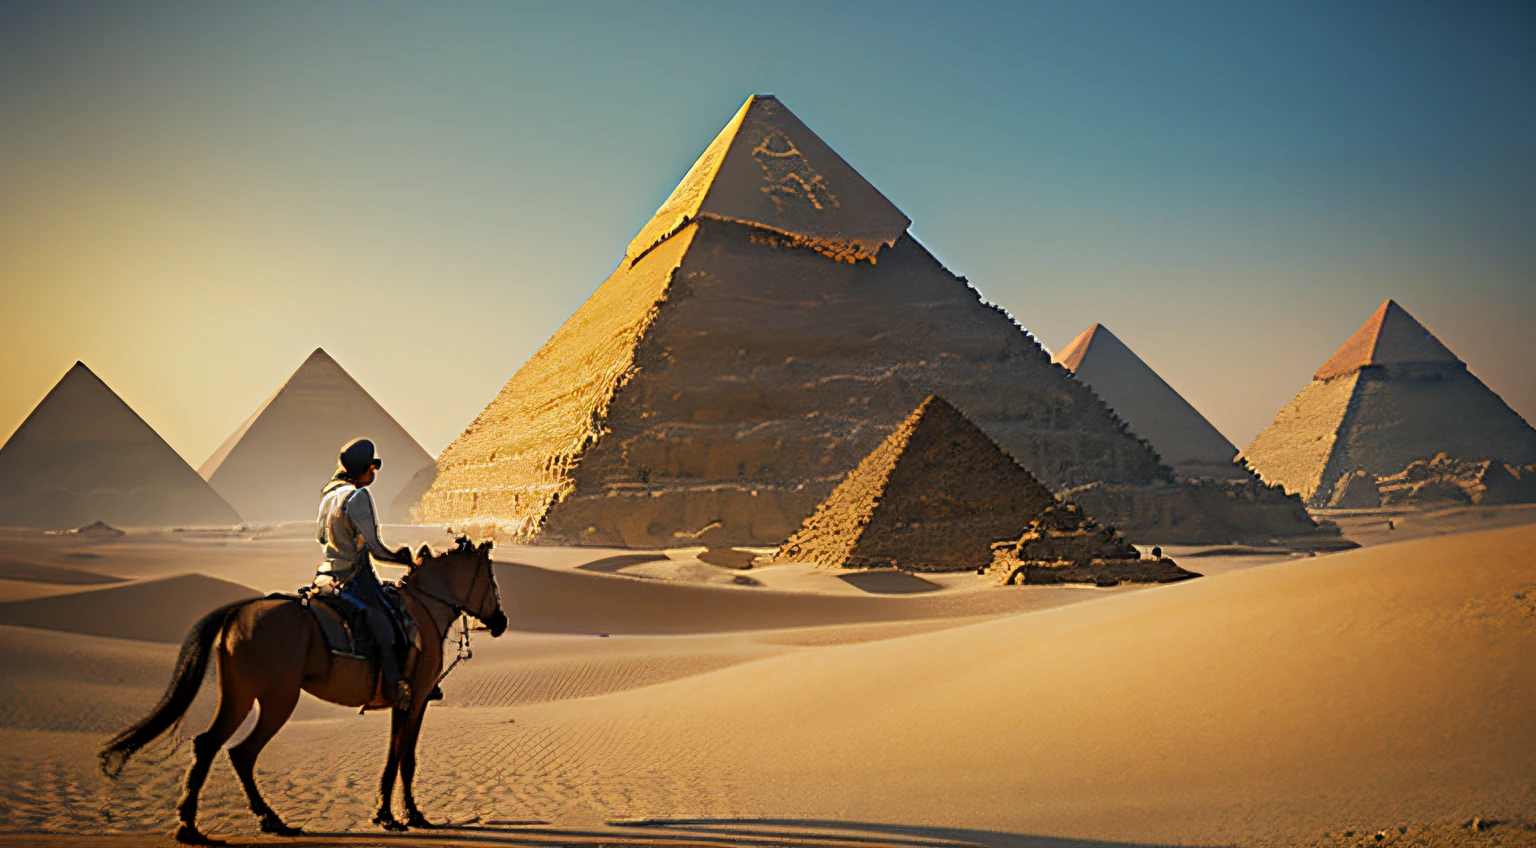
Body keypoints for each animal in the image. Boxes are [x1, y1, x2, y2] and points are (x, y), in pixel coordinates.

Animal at [100, 537, 509, 841]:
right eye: (493, 581)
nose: (501, 621)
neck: (424, 610)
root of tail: (238, 613)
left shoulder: (400, 702)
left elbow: (393, 756)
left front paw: (385, 814)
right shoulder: (418, 697)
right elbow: (405, 758)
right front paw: (410, 815)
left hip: (239, 695)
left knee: (209, 744)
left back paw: (197, 825)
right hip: (278, 699)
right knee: (241, 751)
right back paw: (264, 820)